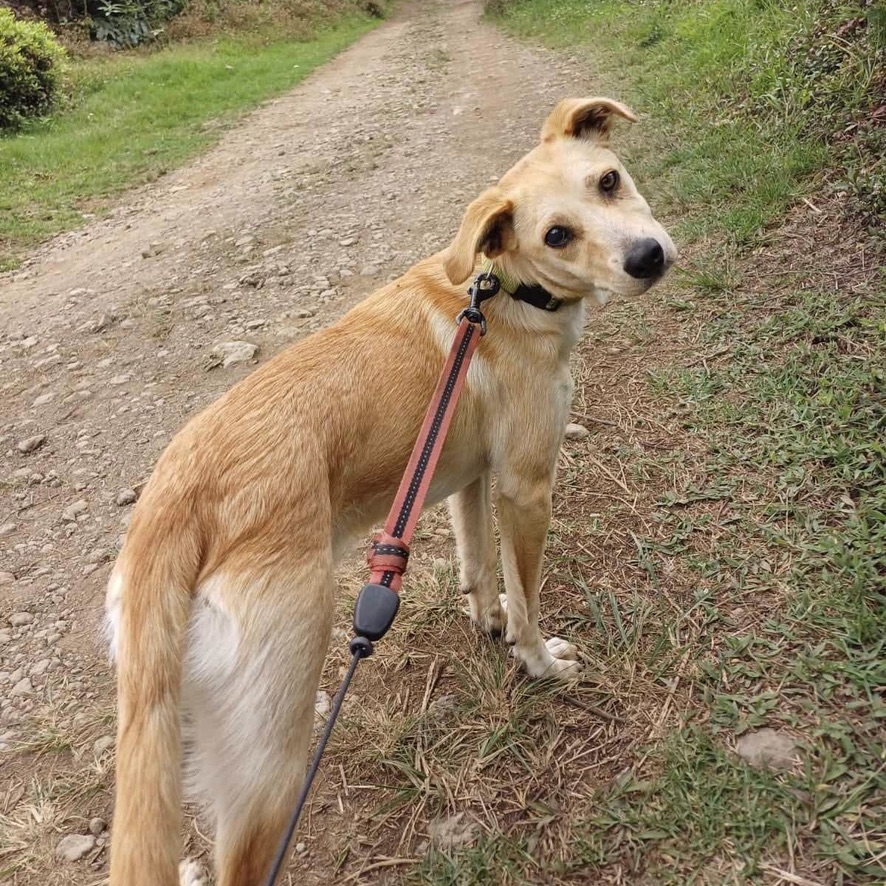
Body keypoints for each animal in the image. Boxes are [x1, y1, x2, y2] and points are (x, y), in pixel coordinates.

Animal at [107, 97, 676, 886]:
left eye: (610, 180)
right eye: (557, 234)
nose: (648, 257)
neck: (506, 290)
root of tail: (175, 499)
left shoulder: (468, 479)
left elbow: (479, 570)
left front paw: (488, 623)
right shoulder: (527, 490)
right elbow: (527, 600)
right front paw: (537, 663)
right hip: (274, 749)